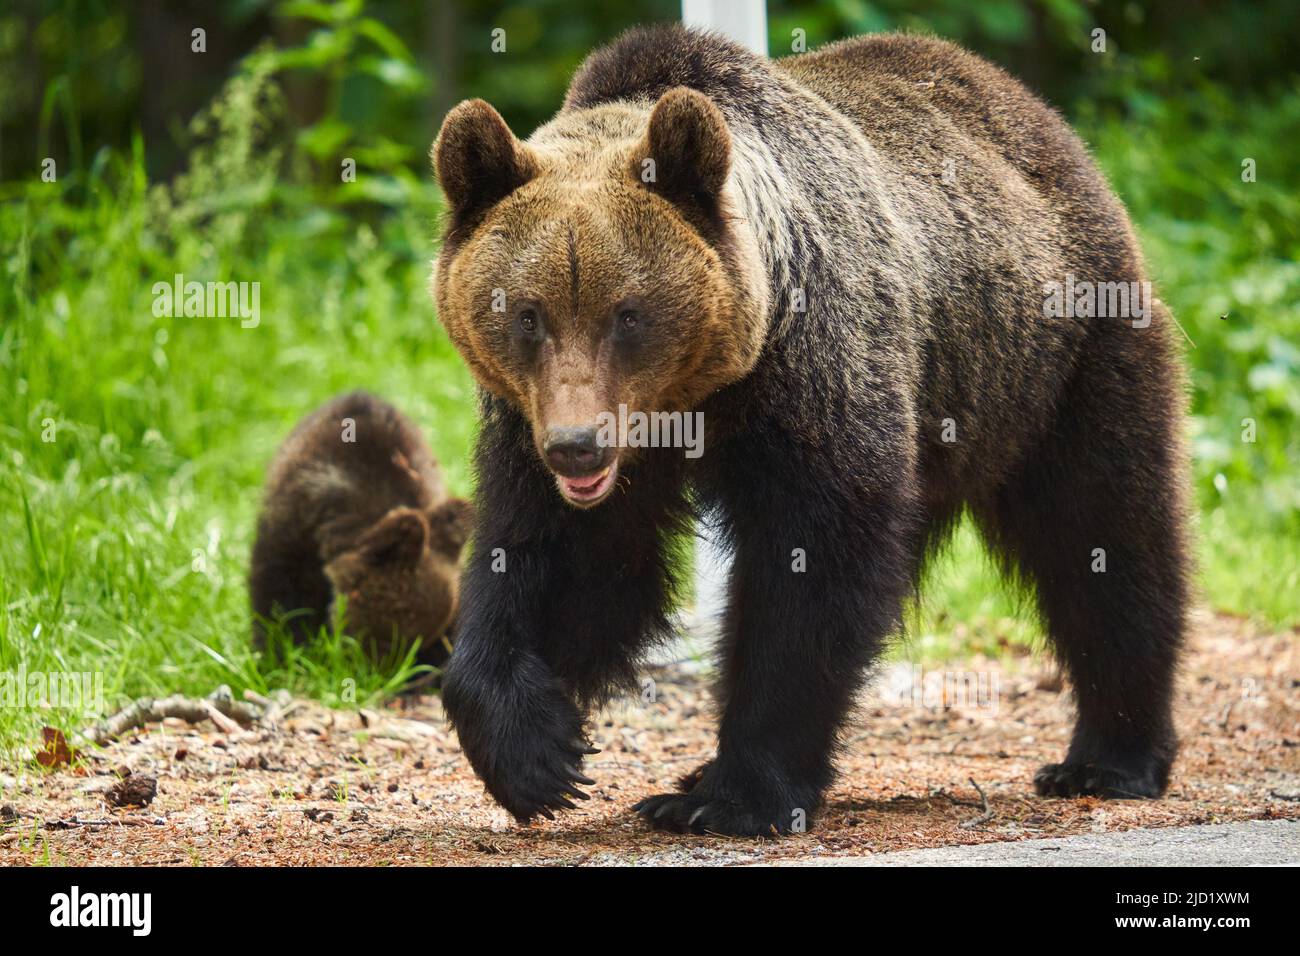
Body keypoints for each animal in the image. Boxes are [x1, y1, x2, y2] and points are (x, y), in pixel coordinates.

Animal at [249, 391, 474, 667]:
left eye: (423, 643)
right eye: (388, 641)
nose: (379, 673)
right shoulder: (291, 532)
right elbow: (280, 601)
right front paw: (280, 655)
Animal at [430, 25, 1189, 835]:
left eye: (627, 314)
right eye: (527, 314)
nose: (578, 447)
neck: (696, 400)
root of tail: (1040, 118)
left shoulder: (814, 378)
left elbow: (810, 571)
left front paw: (728, 795)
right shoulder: (540, 425)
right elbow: (565, 561)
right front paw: (538, 755)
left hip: (1059, 360)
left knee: (1104, 533)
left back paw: (1109, 756)